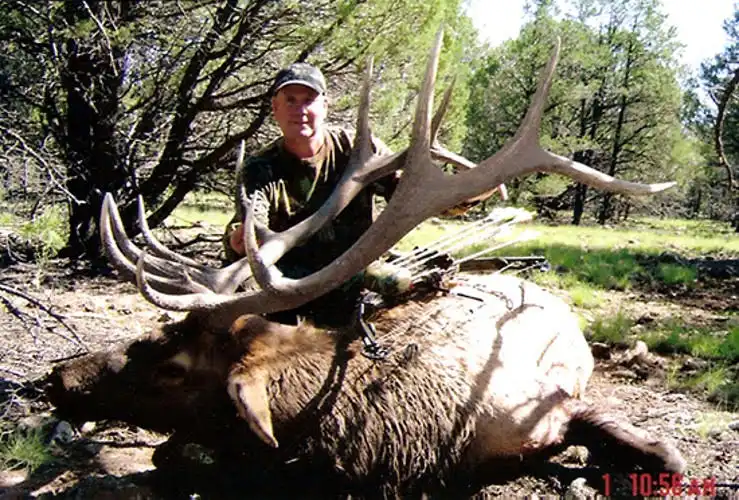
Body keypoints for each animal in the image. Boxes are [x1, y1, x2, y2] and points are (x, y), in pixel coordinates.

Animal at [44, 30, 685, 498]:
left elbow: (665, 456)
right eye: (152, 331)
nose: (58, 376)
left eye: (173, 367)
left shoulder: (552, 402)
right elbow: (170, 454)